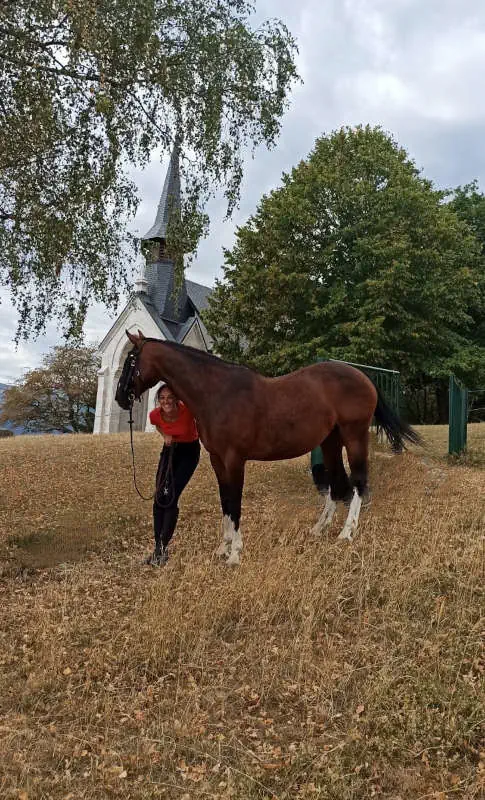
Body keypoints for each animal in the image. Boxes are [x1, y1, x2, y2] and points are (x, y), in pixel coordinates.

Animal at [115, 330, 420, 565]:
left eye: (131, 360)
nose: (120, 397)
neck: (217, 394)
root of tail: (363, 377)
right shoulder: (217, 461)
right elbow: (225, 502)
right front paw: (223, 547)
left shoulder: (234, 460)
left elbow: (235, 503)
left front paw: (235, 554)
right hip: (330, 442)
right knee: (335, 483)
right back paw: (319, 529)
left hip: (354, 436)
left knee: (357, 481)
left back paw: (347, 532)